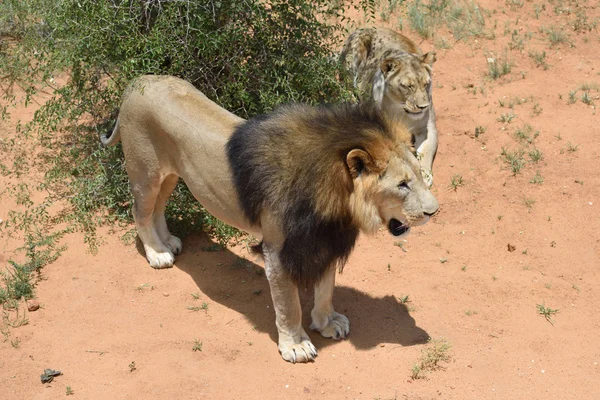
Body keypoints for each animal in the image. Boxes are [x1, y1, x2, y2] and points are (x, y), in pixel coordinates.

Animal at [103, 74, 438, 362]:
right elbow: (289, 304)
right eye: (402, 184)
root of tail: (138, 82)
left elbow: (326, 288)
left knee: (158, 208)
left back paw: (168, 242)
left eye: (421, 175)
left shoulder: (325, 240)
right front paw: (296, 345)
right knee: (140, 211)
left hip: (170, 175)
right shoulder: (278, 251)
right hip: (145, 172)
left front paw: (327, 323)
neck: (336, 203)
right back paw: (157, 253)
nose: (434, 211)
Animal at [342, 27, 436, 187]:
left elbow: (427, 150)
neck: (401, 111)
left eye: (426, 84)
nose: (423, 107)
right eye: (407, 86)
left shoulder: (428, 127)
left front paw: (425, 174)